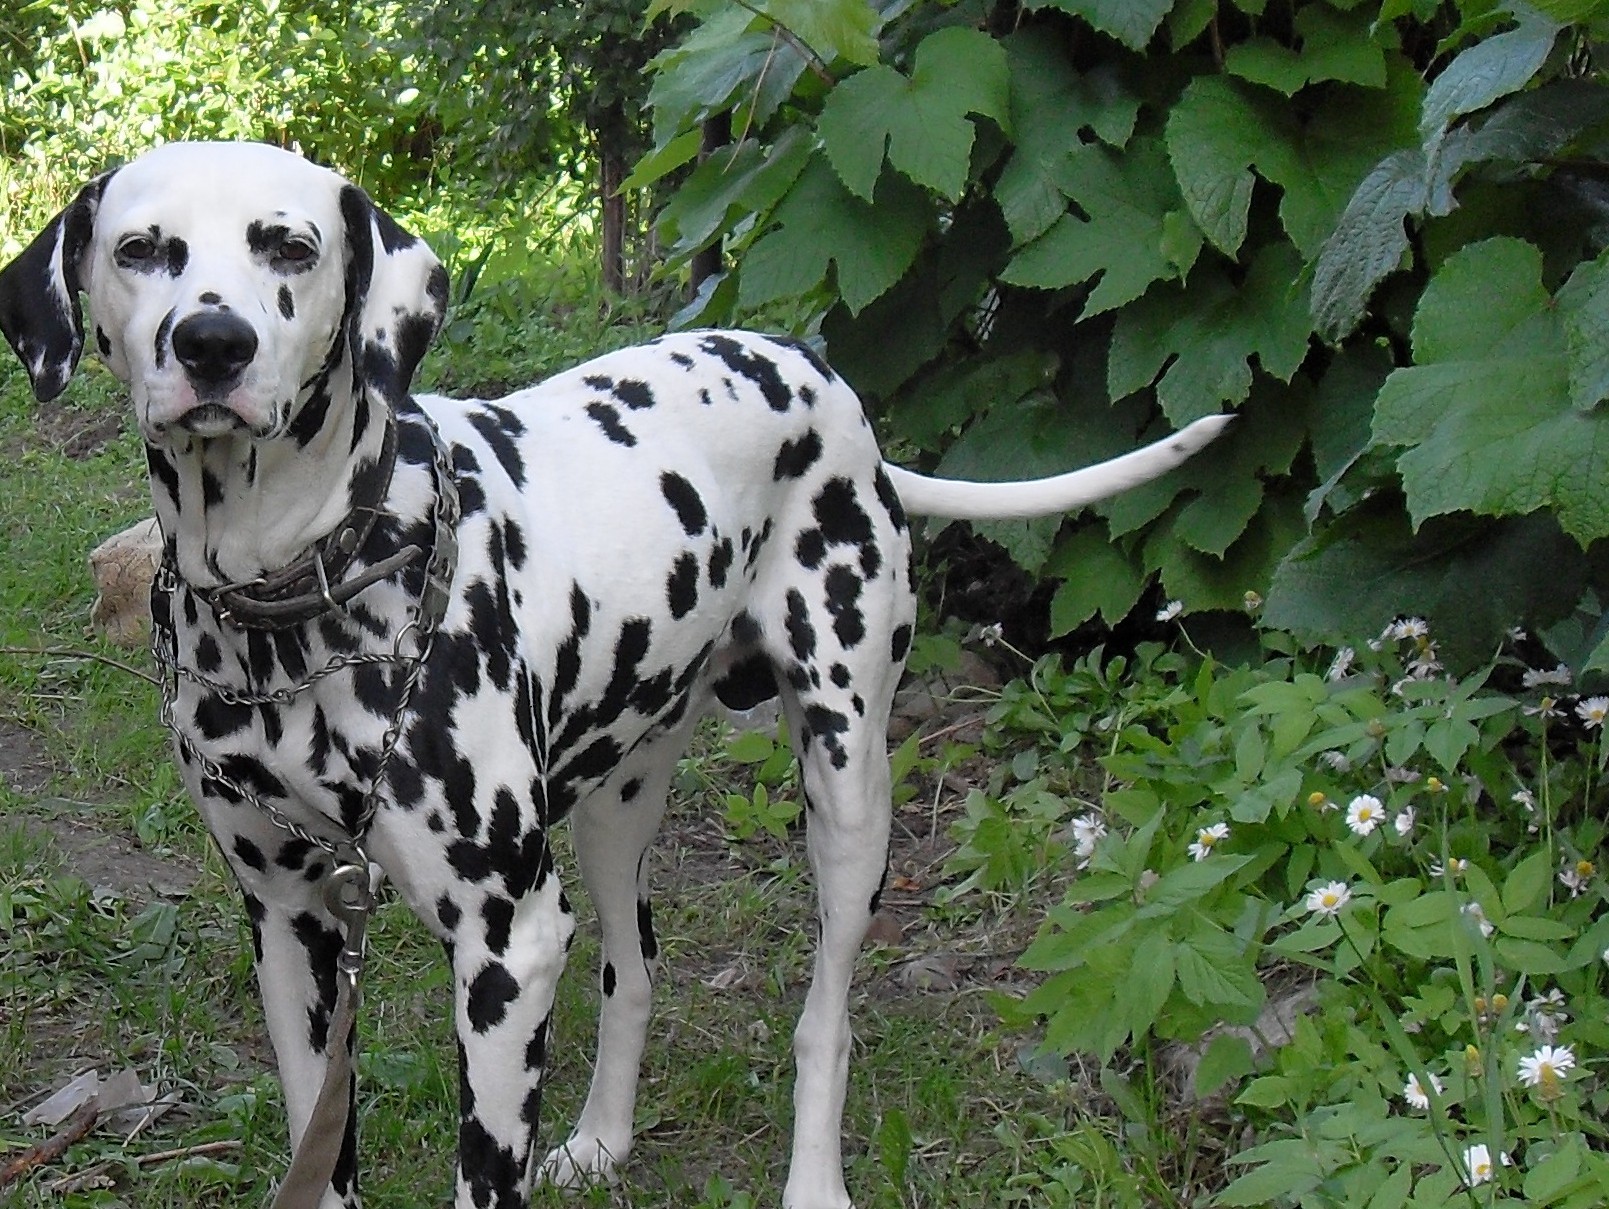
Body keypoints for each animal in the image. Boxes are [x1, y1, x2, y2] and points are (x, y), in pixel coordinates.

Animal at [0, 144, 1222, 1209]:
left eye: (288, 246)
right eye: (143, 248)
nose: (212, 342)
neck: (299, 596)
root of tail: (817, 372)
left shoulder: (505, 947)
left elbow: (483, 1174)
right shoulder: (292, 923)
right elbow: (322, 1146)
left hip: (846, 788)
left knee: (824, 1017)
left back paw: (813, 1182)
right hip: (615, 804)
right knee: (632, 971)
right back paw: (601, 1141)